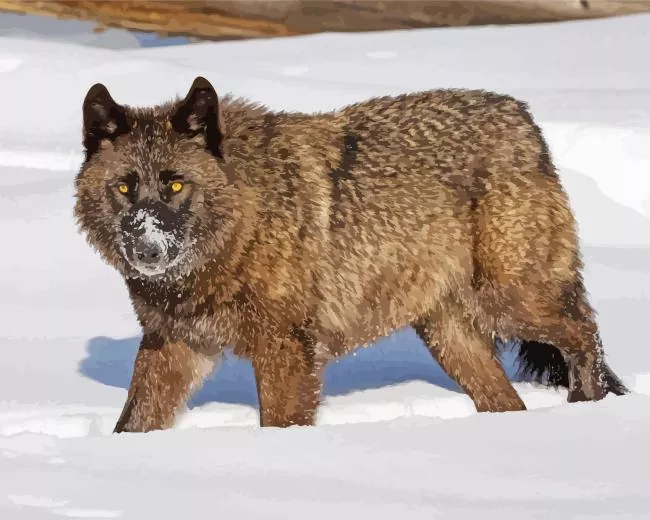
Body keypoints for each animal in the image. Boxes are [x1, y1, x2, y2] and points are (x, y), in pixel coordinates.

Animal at [74, 76, 627, 433]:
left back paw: (588, 409)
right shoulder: (174, 345)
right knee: (510, 402)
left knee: (586, 332)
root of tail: (523, 116)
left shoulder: (285, 350)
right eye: (124, 187)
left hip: (512, 304)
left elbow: (279, 424)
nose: (147, 249)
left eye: (174, 185)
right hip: (453, 338)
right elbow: (131, 424)